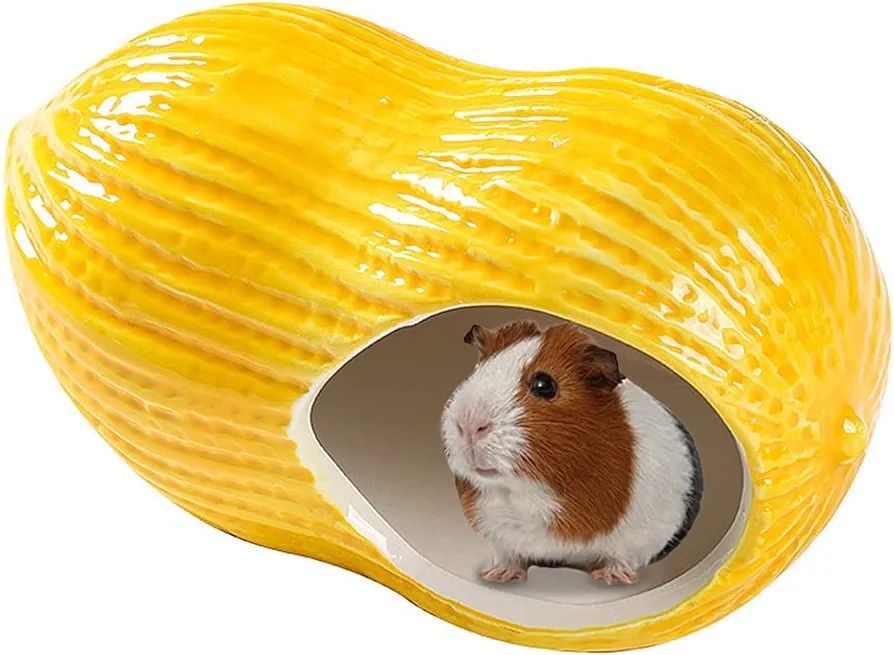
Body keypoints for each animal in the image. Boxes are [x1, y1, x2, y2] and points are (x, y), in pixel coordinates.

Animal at [440, 320, 702, 585]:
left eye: (544, 385)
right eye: (477, 370)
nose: (468, 424)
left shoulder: (640, 536)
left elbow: (620, 557)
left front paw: (610, 577)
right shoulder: (498, 532)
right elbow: (509, 554)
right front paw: (497, 575)